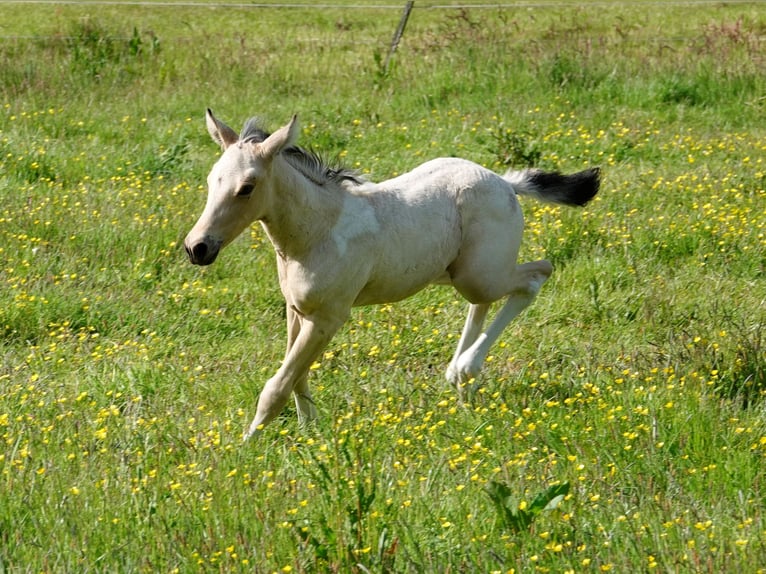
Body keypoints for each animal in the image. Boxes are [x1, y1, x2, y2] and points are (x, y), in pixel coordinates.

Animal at [184, 111, 600, 440]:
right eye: (211, 180)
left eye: (246, 187)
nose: (197, 247)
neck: (315, 231)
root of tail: (505, 182)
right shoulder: (297, 311)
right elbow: (297, 376)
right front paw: (310, 432)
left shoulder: (328, 317)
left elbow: (278, 384)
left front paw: (247, 445)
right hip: (459, 273)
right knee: (482, 303)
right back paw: (458, 376)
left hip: (482, 273)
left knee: (536, 275)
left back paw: (465, 368)